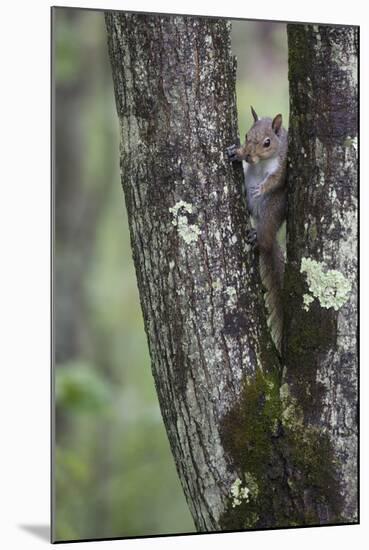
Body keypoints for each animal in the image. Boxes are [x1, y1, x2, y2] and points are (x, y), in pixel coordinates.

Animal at [224, 106, 288, 356]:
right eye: (246, 136)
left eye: (267, 142)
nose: (249, 155)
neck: (262, 163)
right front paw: (234, 152)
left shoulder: (284, 164)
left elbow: (276, 179)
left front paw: (262, 187)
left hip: (272, 212)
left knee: (266, 237)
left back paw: (258, 237)